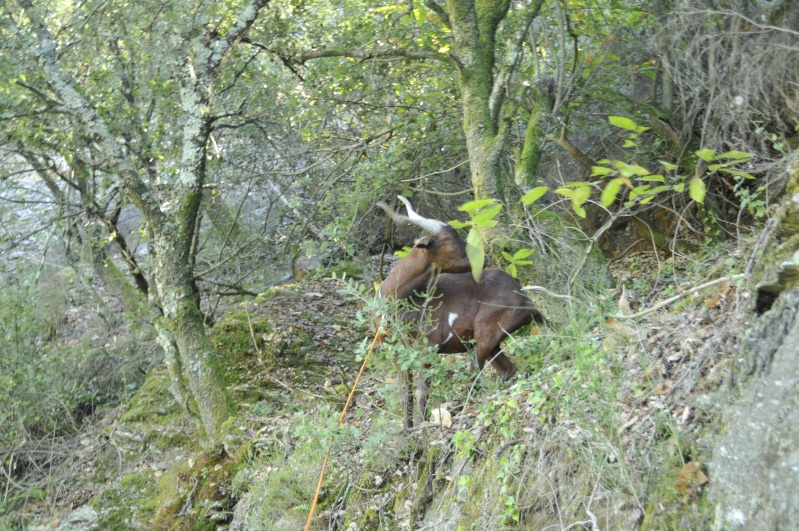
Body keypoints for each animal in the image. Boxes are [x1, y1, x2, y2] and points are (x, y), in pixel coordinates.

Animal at [378, 197, 548, 430]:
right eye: (450, 242)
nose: (483, 259)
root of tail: (525, 298)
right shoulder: (396, 352)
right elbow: (406, 393)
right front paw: (407, 430)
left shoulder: (427, 346)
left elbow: (422, 390)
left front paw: (420, 427)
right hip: (490, 342)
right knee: (507, 370)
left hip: (486, 333)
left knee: (477, 374)